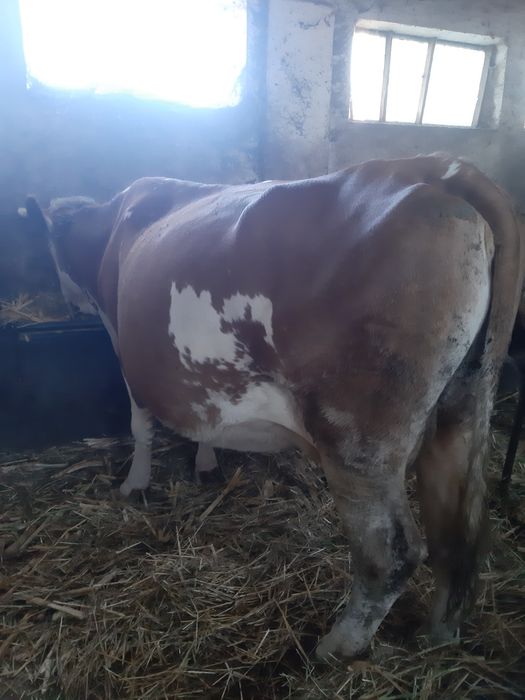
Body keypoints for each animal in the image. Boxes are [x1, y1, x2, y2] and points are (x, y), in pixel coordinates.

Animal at [22, 153, 524, 659]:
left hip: (358, 439)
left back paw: (334, 647)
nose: (67, 305)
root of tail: (440, 169)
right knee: (459, 535)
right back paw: (437, 637)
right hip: (463, 408)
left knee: (391, 554)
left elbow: (139, 424)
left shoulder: (124, 345)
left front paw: (134, 484)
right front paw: (205, 463)